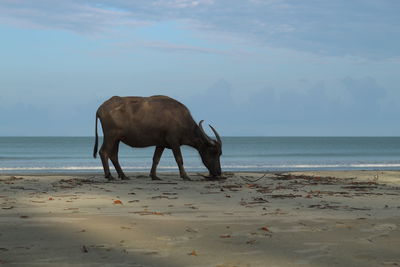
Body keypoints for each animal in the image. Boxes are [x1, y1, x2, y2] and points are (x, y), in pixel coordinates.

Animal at [93, 95, 222, 181]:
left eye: (220, 153)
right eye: (214, 152)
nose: (219, 172)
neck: (180, 118)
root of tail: (101, 108)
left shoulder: (161, 144)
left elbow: (156, 159)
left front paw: (154, 176)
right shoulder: (174, 142)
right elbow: (179, 159)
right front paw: (185, 176)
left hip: (116, 139)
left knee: (113, 155)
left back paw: (123, 175)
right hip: (110, 136)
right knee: (104, 152)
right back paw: (109, 176)